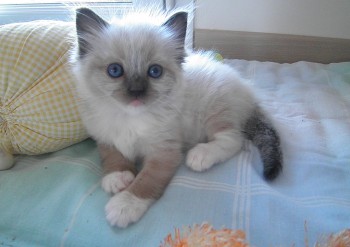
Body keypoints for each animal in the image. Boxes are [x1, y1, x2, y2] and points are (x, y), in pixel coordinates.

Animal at [72, 7, 284, 228]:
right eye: (114, 70)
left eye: (155, 71)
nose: (136, 92)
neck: (130, 119)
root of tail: (248, 92)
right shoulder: (105, 137)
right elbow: (111, 156)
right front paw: (117, 176)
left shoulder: (165, 152)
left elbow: (146, 181)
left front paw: (125, 205)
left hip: (214, 110)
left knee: (234, 139)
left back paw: (200, 155)